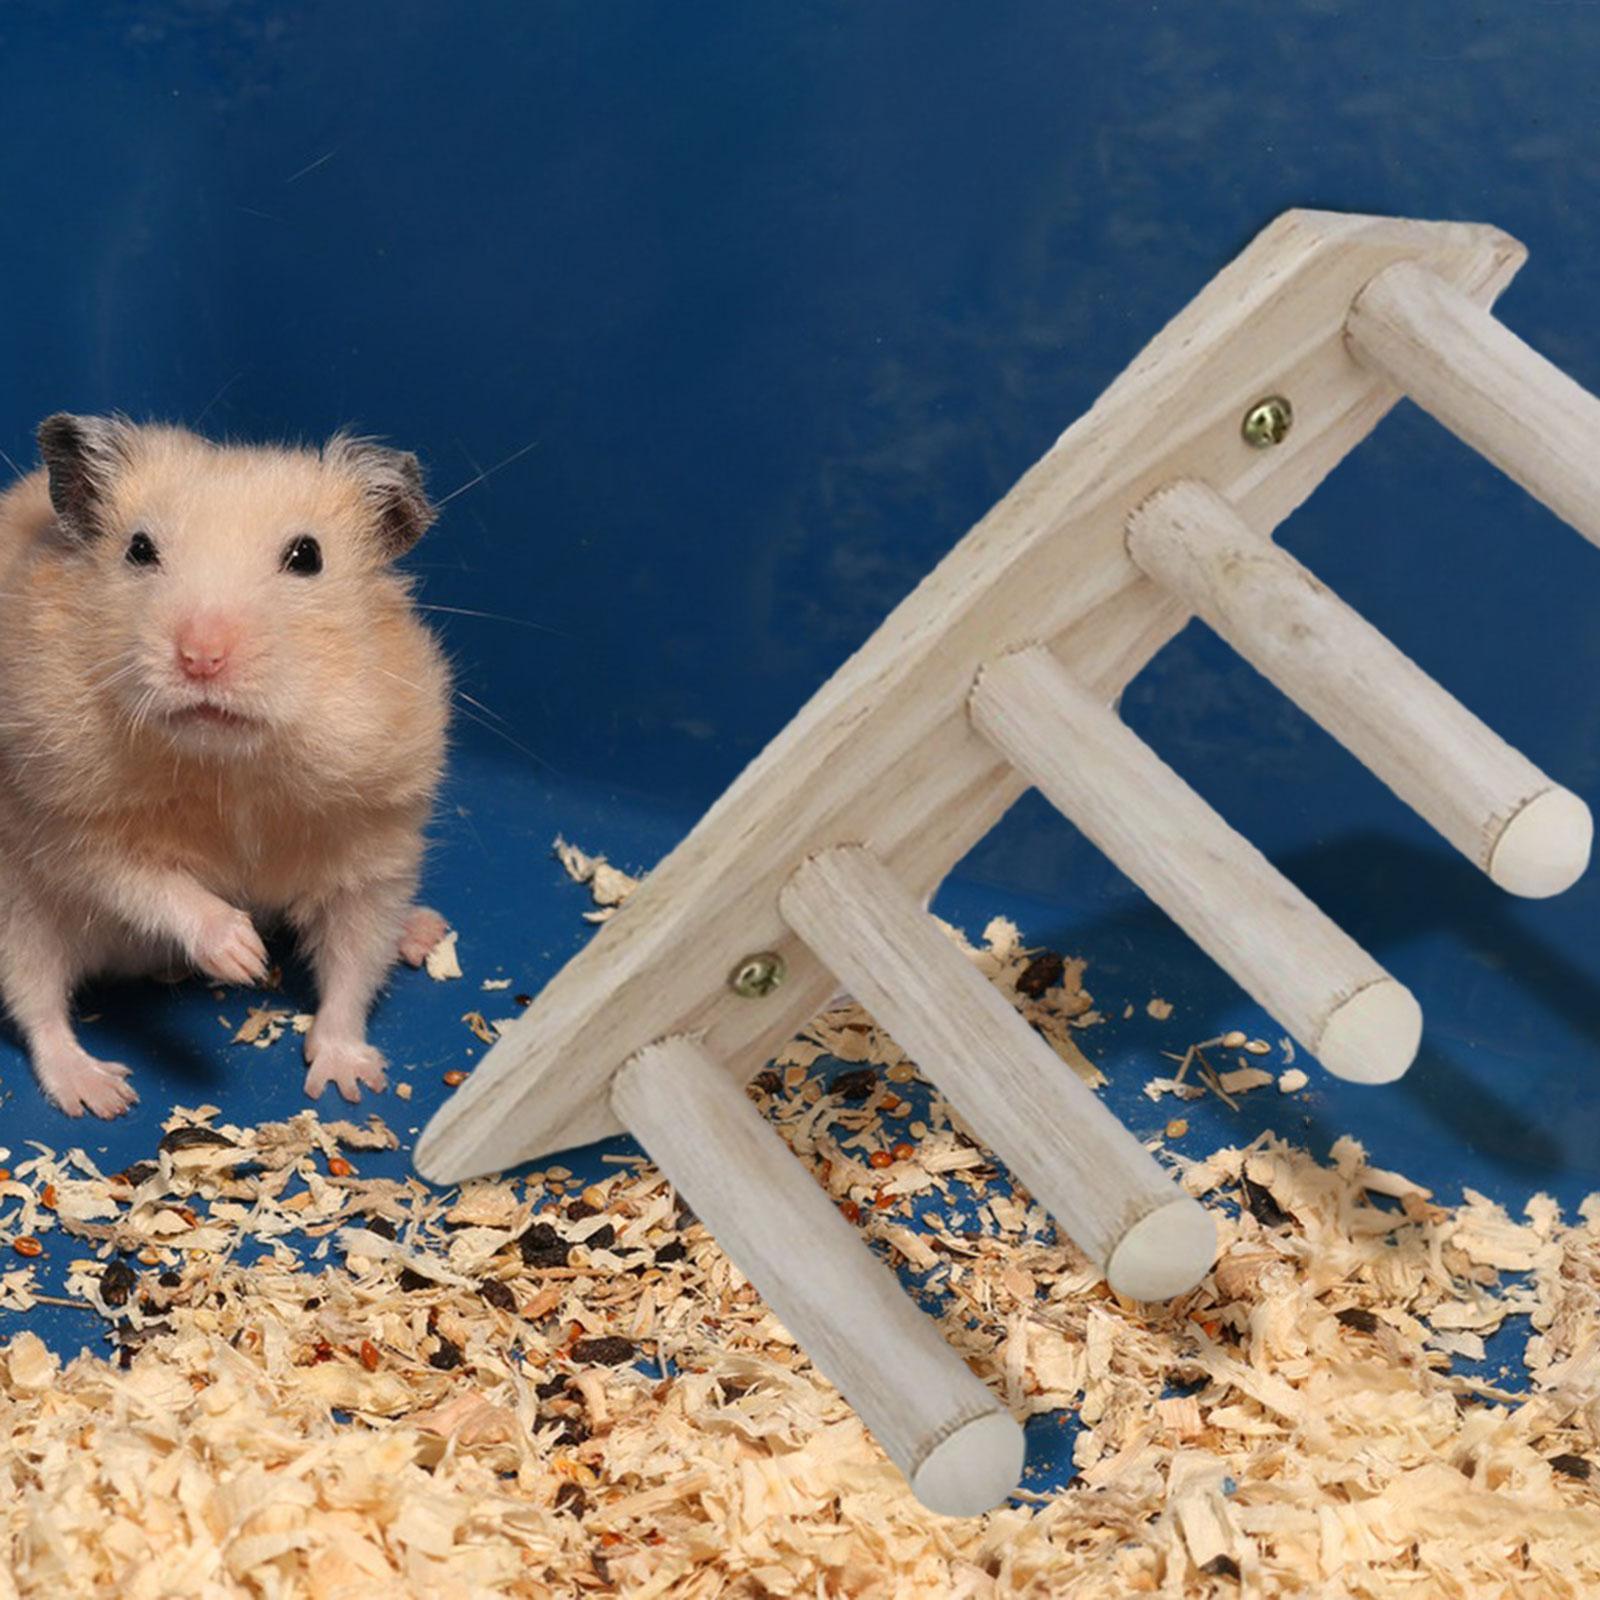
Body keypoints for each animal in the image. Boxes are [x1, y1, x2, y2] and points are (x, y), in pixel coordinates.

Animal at [0, 414, 452, 1117]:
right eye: (139, 550)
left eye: (307, 556)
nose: (201, 658)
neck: (231, 768)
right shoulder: (65, 821)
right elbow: (148, 882)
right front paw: (242, 956)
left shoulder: (374, 840)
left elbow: (355, 960)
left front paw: (347, 1082)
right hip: (18, 917)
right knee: (38, 1002)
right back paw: (101, 1093)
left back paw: (424, 932)